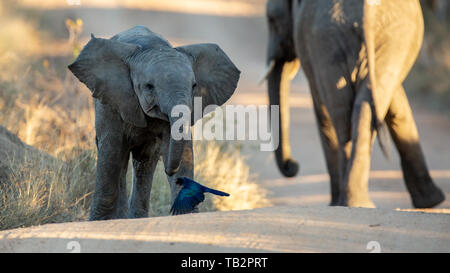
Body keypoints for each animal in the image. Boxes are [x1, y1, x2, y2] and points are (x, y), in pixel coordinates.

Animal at [68, 26, 241, 219]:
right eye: (149, 86)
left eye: (194, 86)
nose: (169, 171)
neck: (152, 46)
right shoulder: (112, 103)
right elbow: (111, 152)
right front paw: (99, 221)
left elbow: (183, 151)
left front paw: (186, 213)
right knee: (120, 159)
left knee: (144, 162)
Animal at [262, 0, 444, 207]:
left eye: (272, 20)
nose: (292, 166)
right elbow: (394, 101)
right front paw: (432, 202)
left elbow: (322, 108)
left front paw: (431, 202)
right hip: (381, 37)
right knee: (354, 112)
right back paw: (356, 202)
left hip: (336, 39)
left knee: (342, 115)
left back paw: (348, 202)